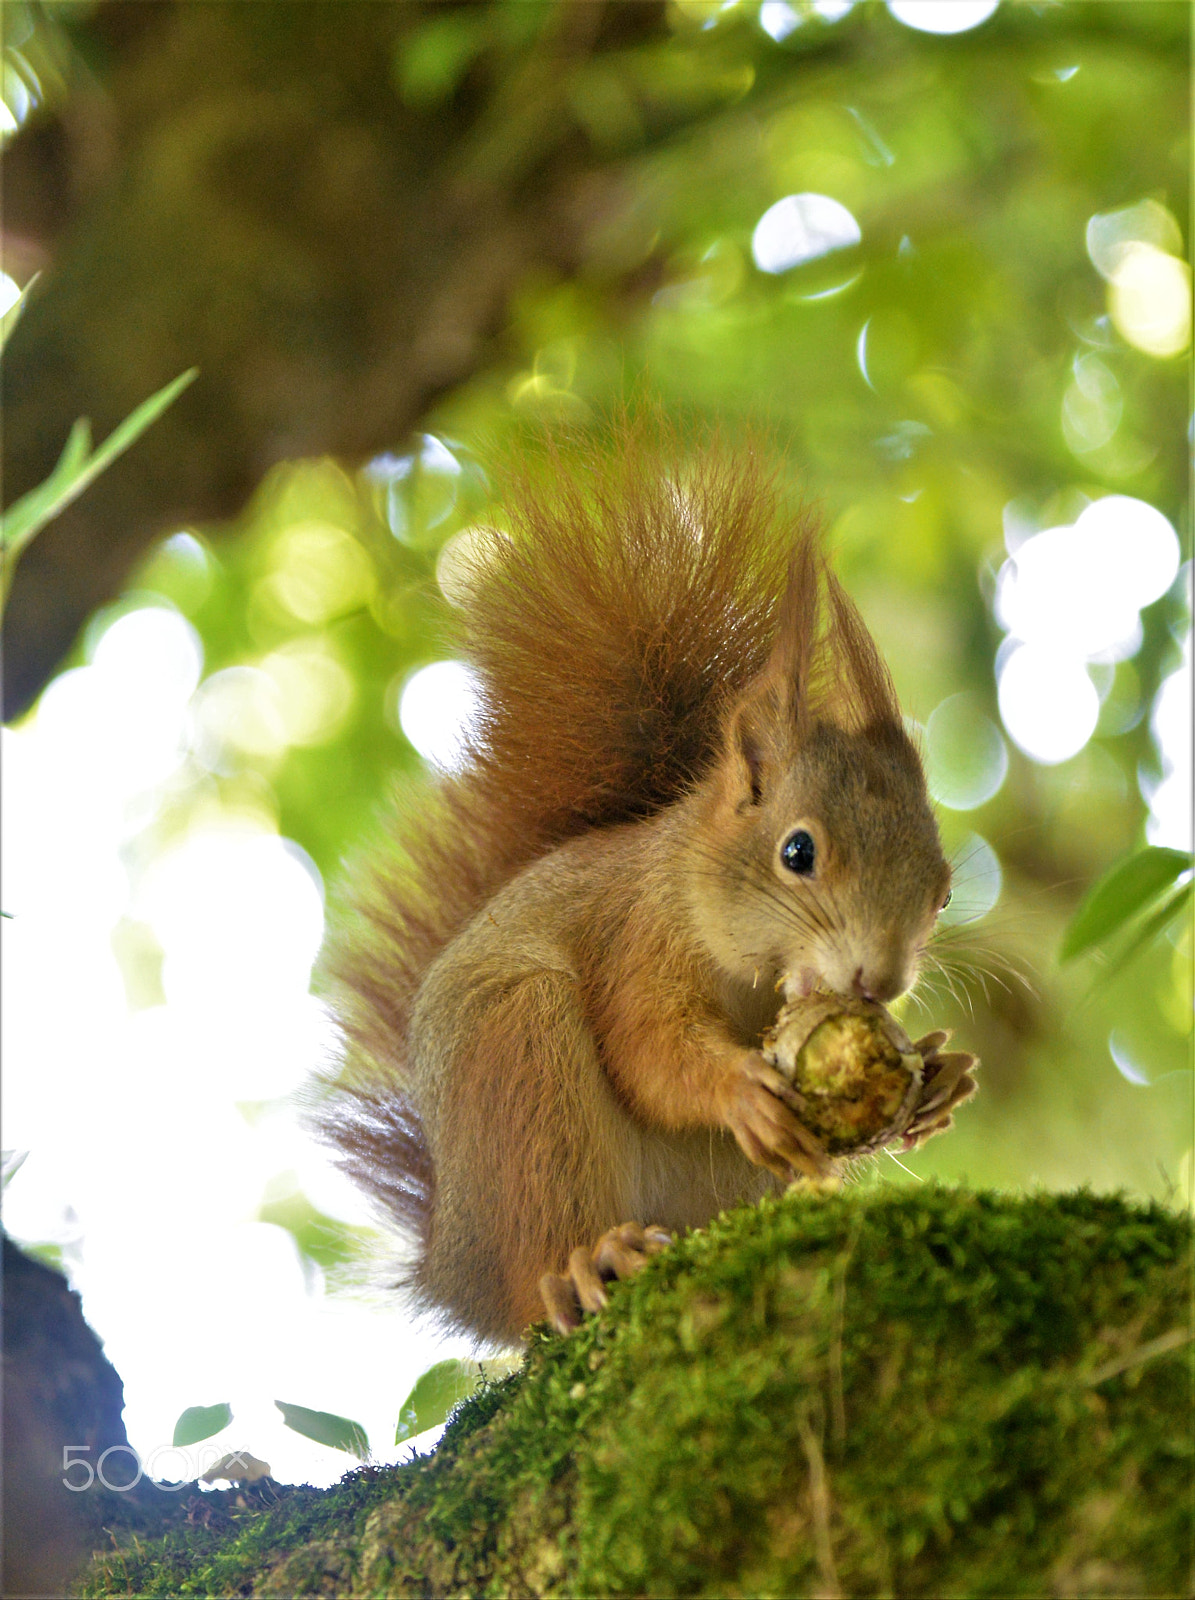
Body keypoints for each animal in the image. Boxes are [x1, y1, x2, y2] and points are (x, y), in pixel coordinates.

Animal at [313, 419, 979, 1344]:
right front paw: (737, 1089)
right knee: (542, 1256)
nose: (878, 982)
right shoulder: (637, 938)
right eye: (797, 853)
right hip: (519, 1064)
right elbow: (645, 1048)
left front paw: (938, 1077)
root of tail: (454, 1267)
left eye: (942, 889)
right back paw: (581, 1265)